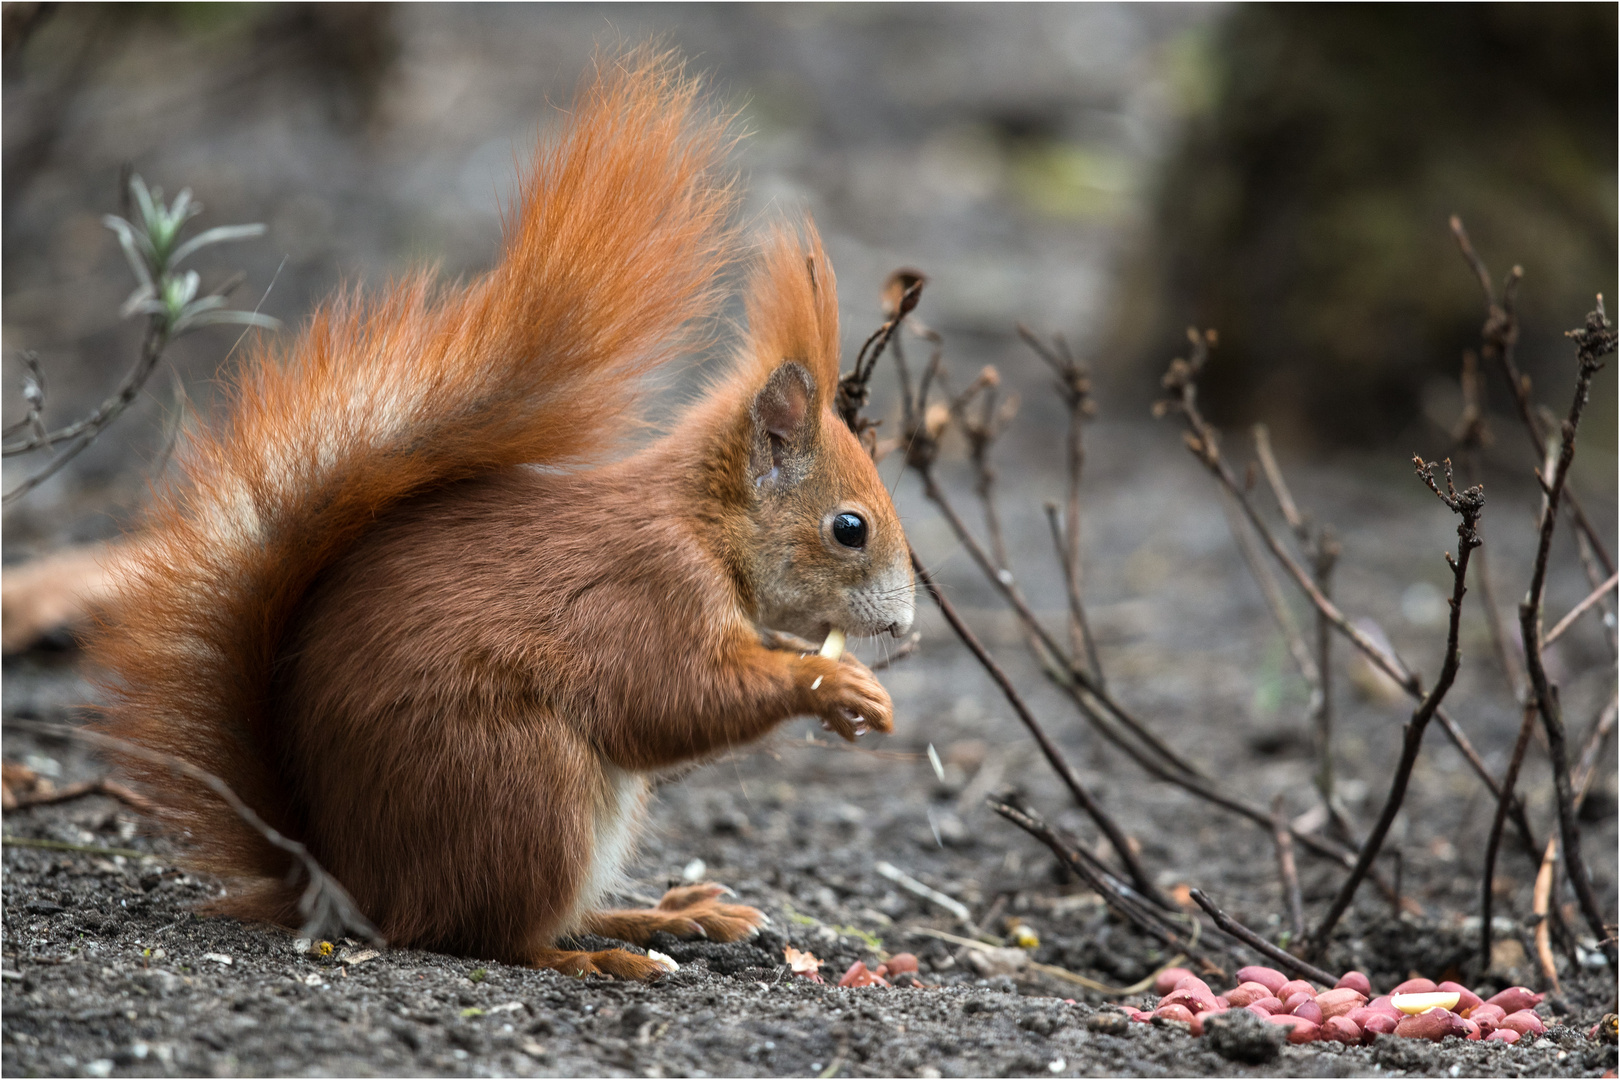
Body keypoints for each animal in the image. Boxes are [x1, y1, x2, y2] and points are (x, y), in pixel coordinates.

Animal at [88, 52, 913, 977]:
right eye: (850, 528)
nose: (905, 625)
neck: (704, 526)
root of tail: (348, 886)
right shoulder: (646, 592)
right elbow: (673, 699)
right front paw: (830, 681)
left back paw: (665, 917)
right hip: (520, 784)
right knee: (491, 935)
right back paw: (601, 959)